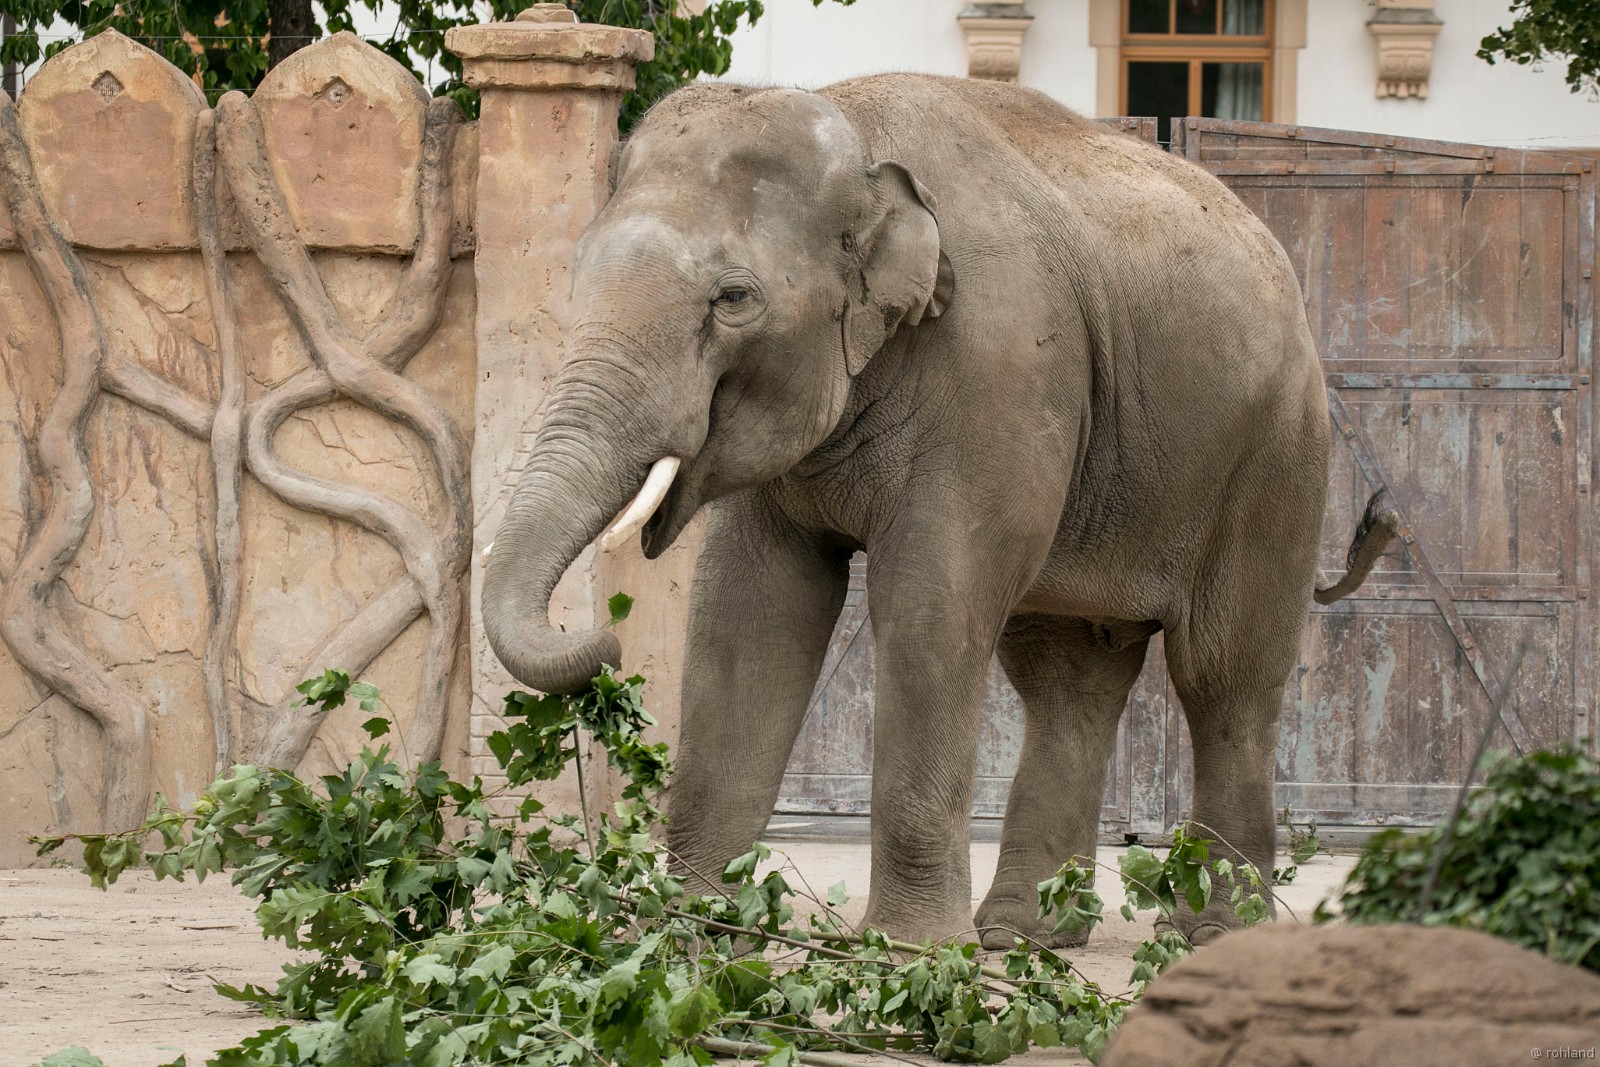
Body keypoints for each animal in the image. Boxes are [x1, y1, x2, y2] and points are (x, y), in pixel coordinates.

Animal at [481, 73, 1395, 949]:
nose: (602, 644)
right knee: (1068, 679)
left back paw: (1208, 930)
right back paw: (1023, 935)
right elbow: (750, 609)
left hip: (1276, 457)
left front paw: (912, 951)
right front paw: (694, 934)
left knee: (1223, 677)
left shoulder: (999, 365)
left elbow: (931, 604)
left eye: (733, 298)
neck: (857, 134)